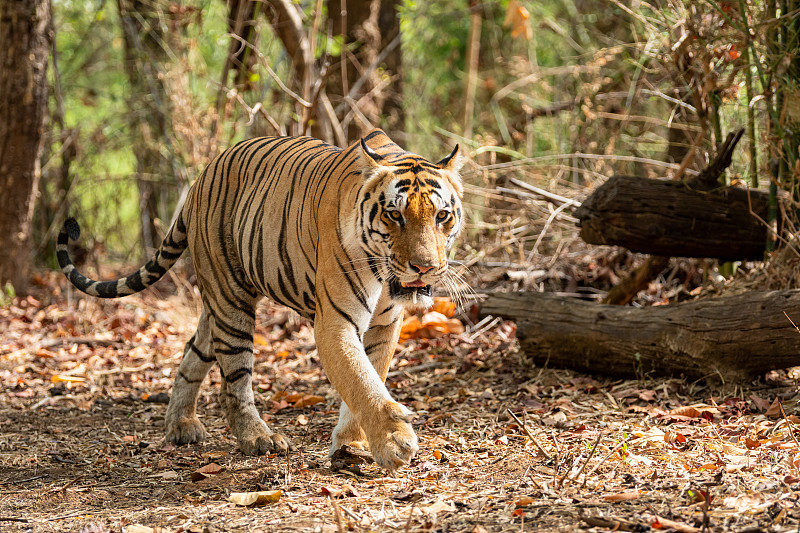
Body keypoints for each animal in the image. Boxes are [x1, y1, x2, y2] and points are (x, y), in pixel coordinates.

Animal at [57, 129, 462, 470]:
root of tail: (200, 179)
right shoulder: (335, 321)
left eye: (442, 215)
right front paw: (395, 442)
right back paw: (258, 438)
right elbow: (360, 381)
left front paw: (352, 444)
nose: (424, 267)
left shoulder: (386, 324)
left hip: (216, 308)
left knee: (193, 350)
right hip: (230, 300)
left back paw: (181, 425)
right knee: (233, 382)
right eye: (395, 215)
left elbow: (370, 376)